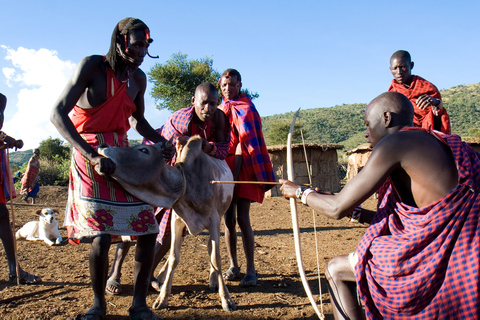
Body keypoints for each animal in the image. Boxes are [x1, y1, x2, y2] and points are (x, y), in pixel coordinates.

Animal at [97, 136, 236, 312]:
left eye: (144, 150)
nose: (103, 145)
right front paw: (162, 298)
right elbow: (173, 257)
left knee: (211, 249)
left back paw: (213, 281)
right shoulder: (176, 221)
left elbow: (216, 258)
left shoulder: (214, 220)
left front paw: (226, 298)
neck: (187, 182)